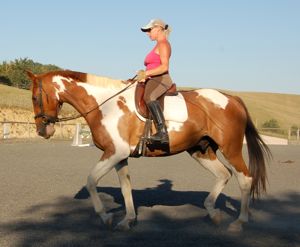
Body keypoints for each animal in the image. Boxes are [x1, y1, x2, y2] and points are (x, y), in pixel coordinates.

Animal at [27, 70, 270, 233]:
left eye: (34, 97)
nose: (42, 130)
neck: (105, 105)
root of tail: (232, 98)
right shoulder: (120, 156)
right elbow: (126, 187)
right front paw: (127, 220)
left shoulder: (114, 153)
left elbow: (91, 181)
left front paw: (105, 216)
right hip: (200, 150)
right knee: (223, 175)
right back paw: (213, 212)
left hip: (231, 149)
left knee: (245, 178)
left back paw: (239, 222)